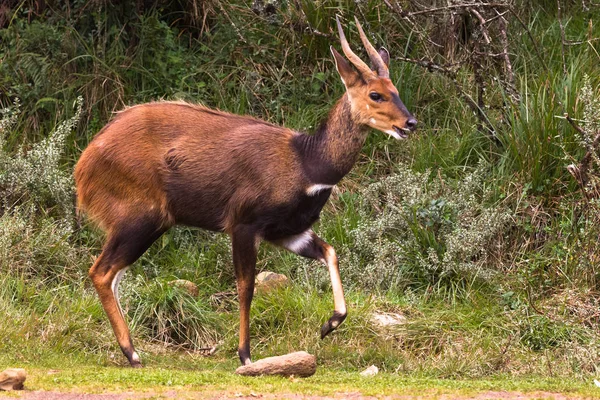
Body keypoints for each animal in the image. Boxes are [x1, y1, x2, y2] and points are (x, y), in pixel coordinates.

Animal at [75, 17, 418, 368]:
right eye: (376, 94)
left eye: (395, 90)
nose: (410, 123)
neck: (307, 164)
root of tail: (83, 166)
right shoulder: (243, 223)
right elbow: (246, 286)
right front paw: (245, 355)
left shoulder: (288, 231)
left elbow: (331, 251)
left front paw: (328, 325)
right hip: (142, 215)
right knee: (100, 272)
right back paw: (133, 354)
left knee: (111, 274)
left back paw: (131, 350)